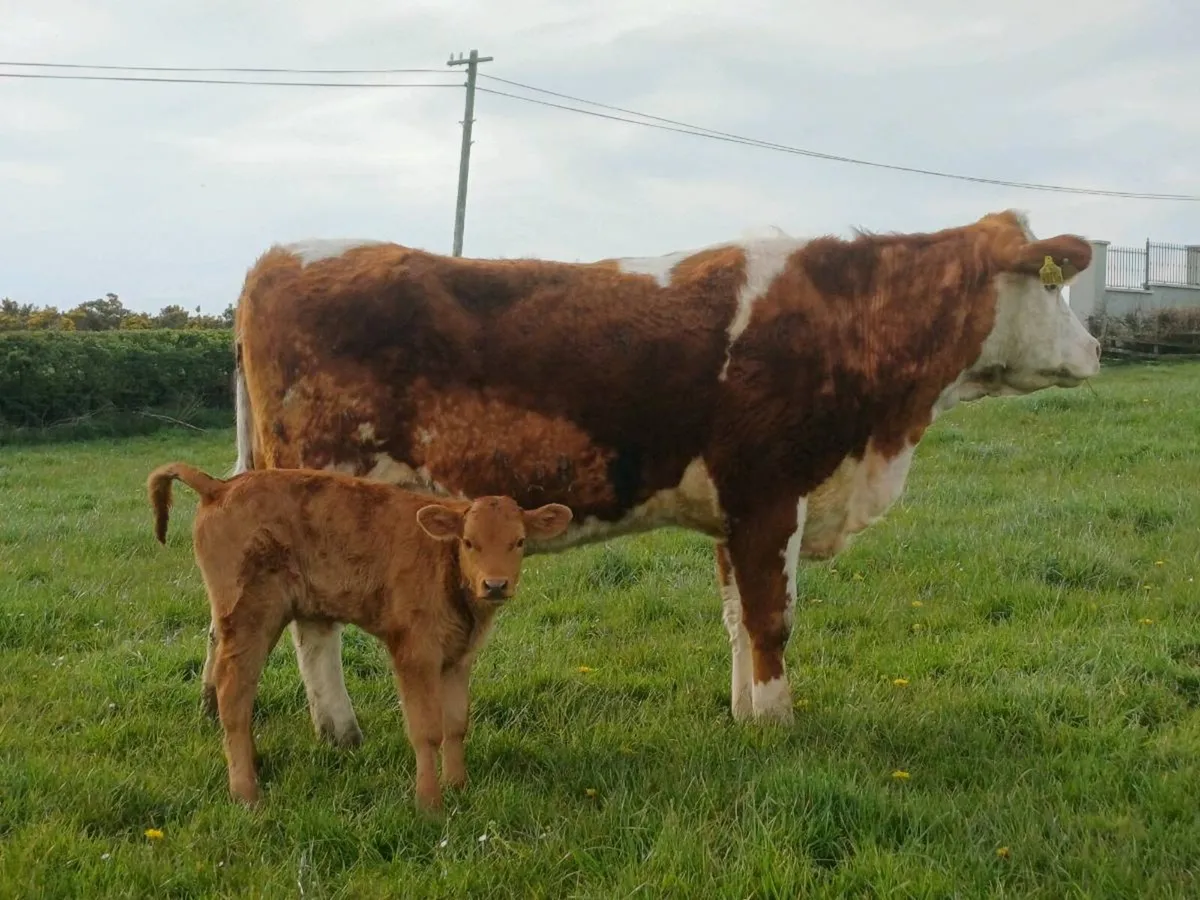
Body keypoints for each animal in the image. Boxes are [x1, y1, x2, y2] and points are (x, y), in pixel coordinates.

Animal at [148, 460, 573, 810]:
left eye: (519, 541)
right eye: (469, 542)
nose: (495, 585)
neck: (445, 565)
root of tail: (220, 487)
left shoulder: (458, 658)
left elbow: (456, 724)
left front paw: (458, 787)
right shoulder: (413, 653)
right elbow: (425, 729)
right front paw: (429, 803)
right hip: (249, 617)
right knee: (233, 692)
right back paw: (247, 793)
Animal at [218, 208, 1100, 742]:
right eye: (1053, 286)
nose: (1096, 349)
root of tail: (280, 255)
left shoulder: (734, 513)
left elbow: (737, 618)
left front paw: (744, 718)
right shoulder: (771, 494)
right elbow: (773, 621)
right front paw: (778, 727)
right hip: (324, 484)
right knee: (314, 625)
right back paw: (341, 732)